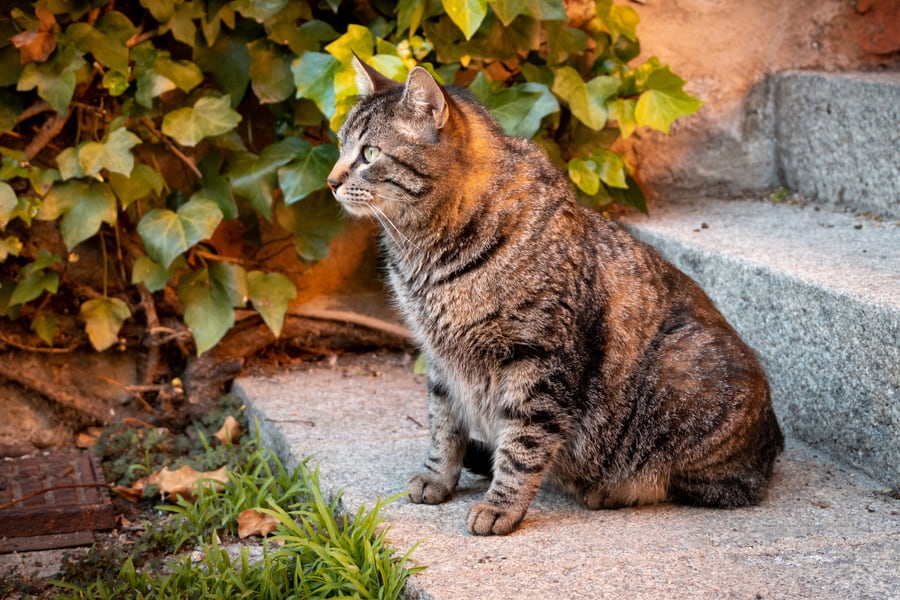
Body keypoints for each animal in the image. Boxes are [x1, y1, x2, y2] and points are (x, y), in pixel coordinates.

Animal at [326, 58, 784, 536]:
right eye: (340, 145)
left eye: (369, 154)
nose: (330, 181)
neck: (427, 251)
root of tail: (774, 442)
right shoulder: (440, 357)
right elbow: (443, 424)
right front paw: (437, 477)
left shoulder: (540, 358)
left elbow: (523, 444)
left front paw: (501, 506)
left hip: (684, 370)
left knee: (711, 485)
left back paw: (610, 488)